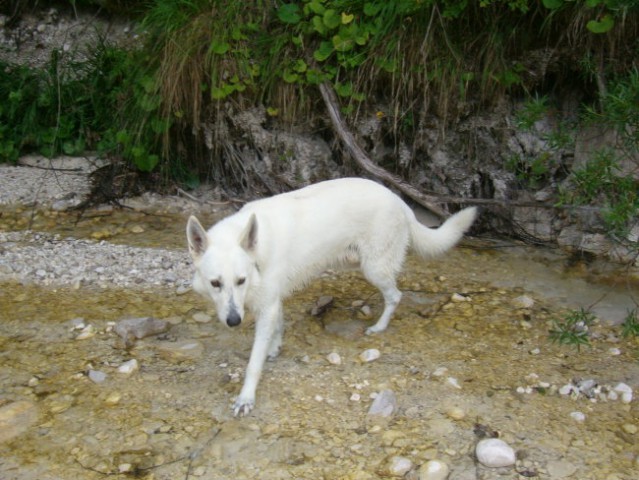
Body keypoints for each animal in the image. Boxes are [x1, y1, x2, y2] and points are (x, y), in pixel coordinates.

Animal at [185, 178, 476, 414]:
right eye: (215, 283)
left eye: (241, 280)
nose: (234, 322)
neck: (258, 255)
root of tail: (399, 200)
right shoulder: (273, 301)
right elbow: (278, 327)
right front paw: (275, 348)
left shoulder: (266, 306)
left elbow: (253, 362)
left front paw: (246, 397)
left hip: (374, 269)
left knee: (395, 295)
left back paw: (379, 327)